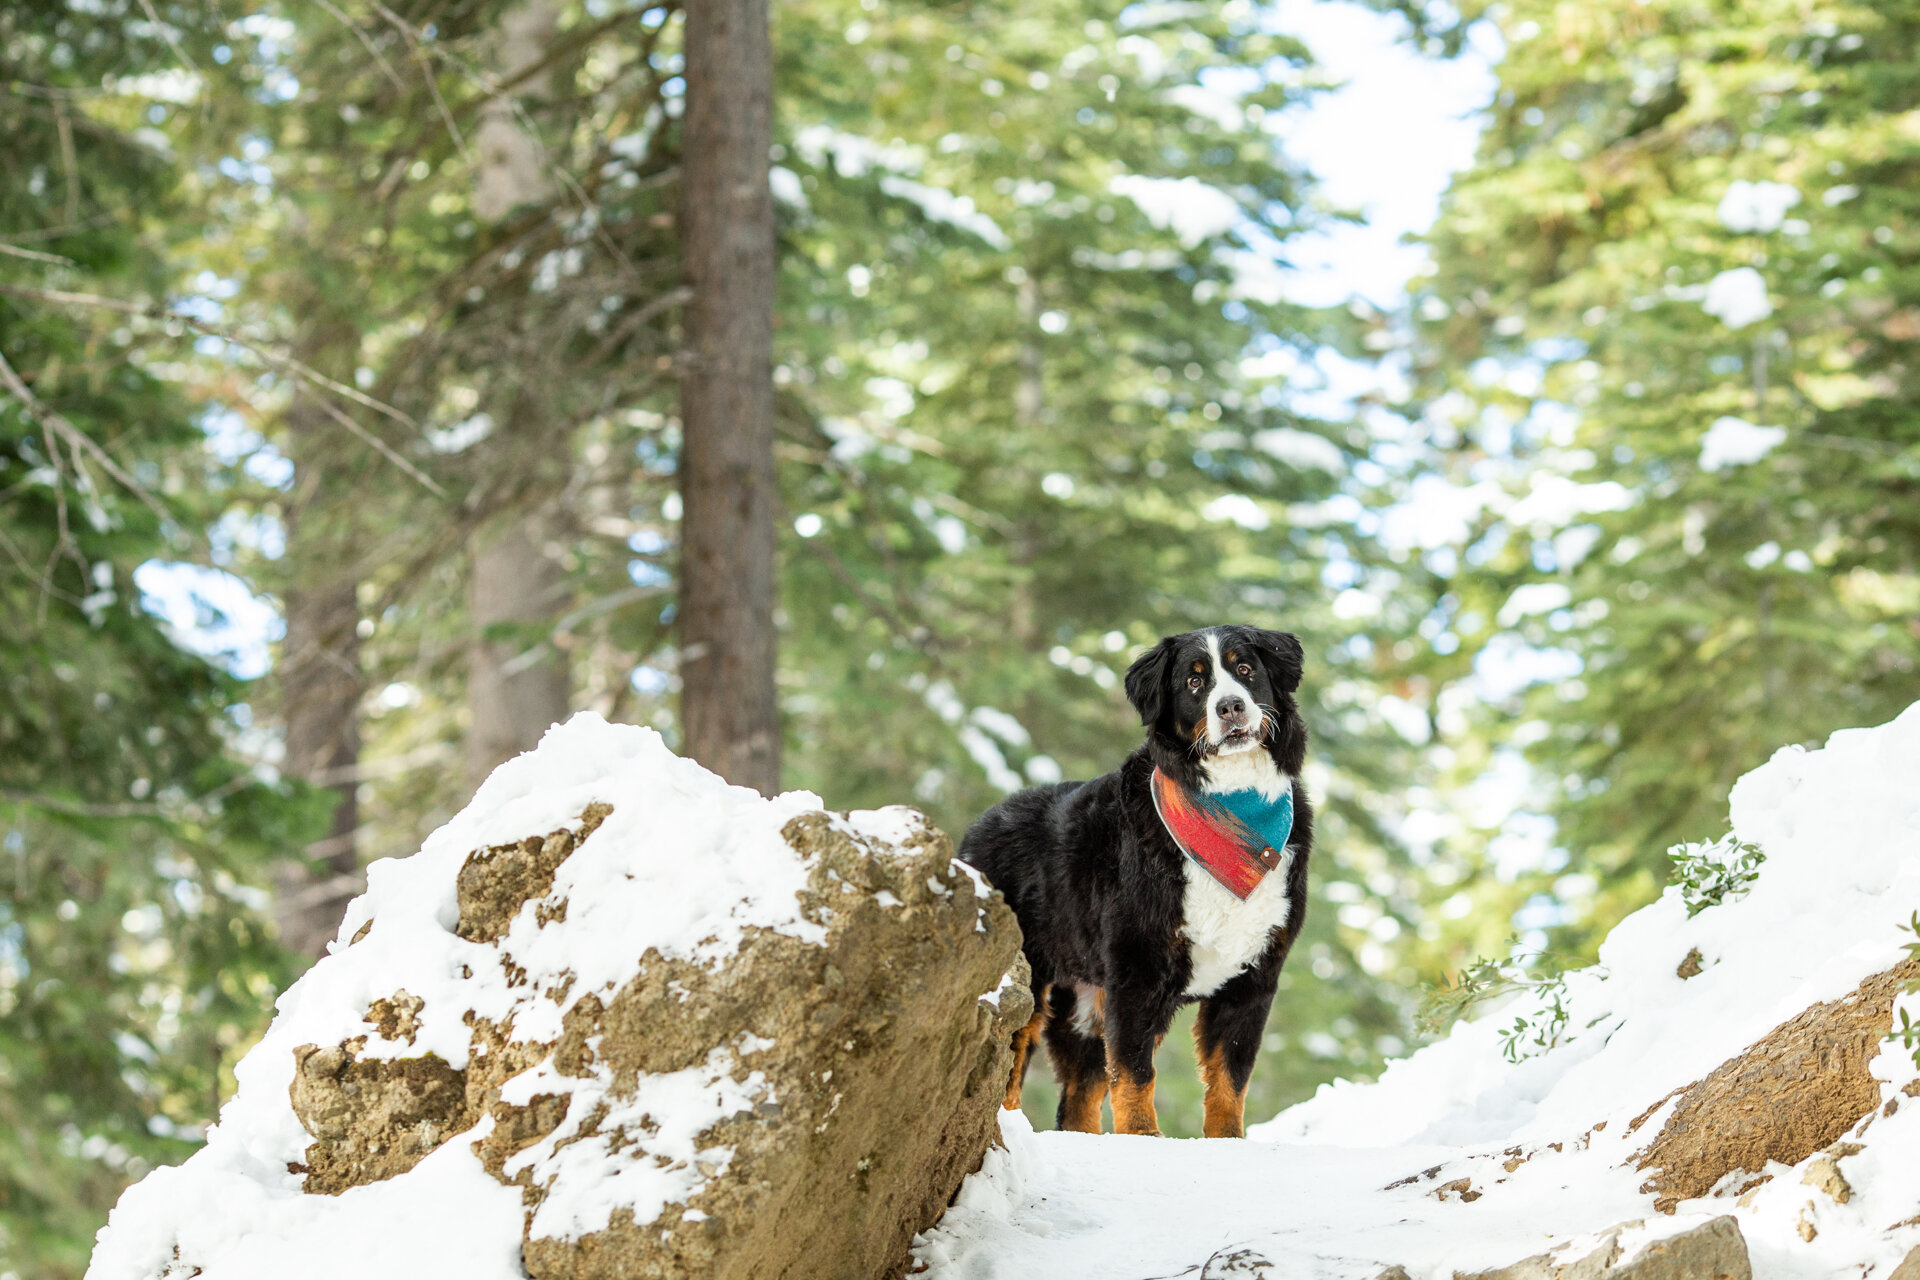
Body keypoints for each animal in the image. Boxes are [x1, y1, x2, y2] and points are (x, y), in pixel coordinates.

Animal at [956, 625, 1305, 1136]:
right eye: (1194, 682)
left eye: (1245, 669)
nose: (1230, 707)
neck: (1232, 804)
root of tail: (978, 826)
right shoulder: (1137, 968)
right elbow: (1135, 1068)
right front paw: (1143, 1135)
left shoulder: (1253, 977)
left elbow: (1230, 1076)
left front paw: (1227, 1141)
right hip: (1027, 982)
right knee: (1011, 1070)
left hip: (1084, 999)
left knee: (1078, 1098)